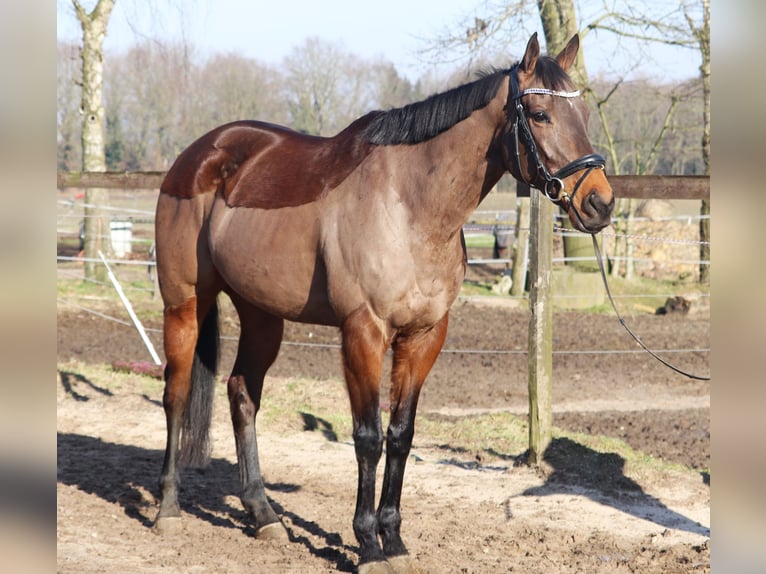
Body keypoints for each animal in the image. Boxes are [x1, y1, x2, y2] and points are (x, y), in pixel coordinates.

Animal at [156, 33, 616, 572]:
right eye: (540, 114)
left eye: (582, 114)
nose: (600, 203)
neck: (409, 206)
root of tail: (200, 155)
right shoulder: (363, 333)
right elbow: (368, 438)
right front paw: (367, 544)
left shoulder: (423, 338)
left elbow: (400, 435)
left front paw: (392, 538)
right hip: (184, 304)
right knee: (177, 393)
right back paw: (167, 507)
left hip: (262, 314)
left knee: (242, 394)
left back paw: (263, 514)